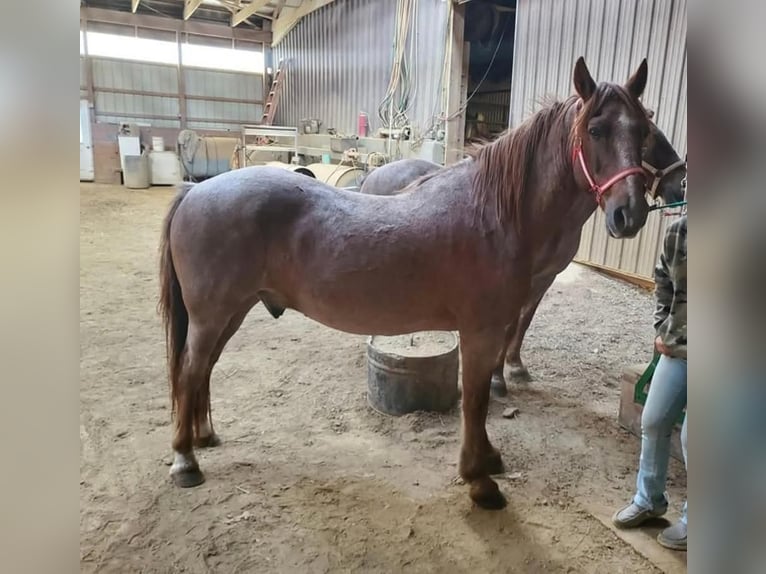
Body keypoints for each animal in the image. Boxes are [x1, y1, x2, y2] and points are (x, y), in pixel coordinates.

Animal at [364, 120, 688, 400]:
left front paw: (515, 365)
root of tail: (373, 175)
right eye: (649, 142)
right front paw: (497, 379)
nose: (681, 185)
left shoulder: (546, 277)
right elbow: (509, 325)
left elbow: (524, 321)